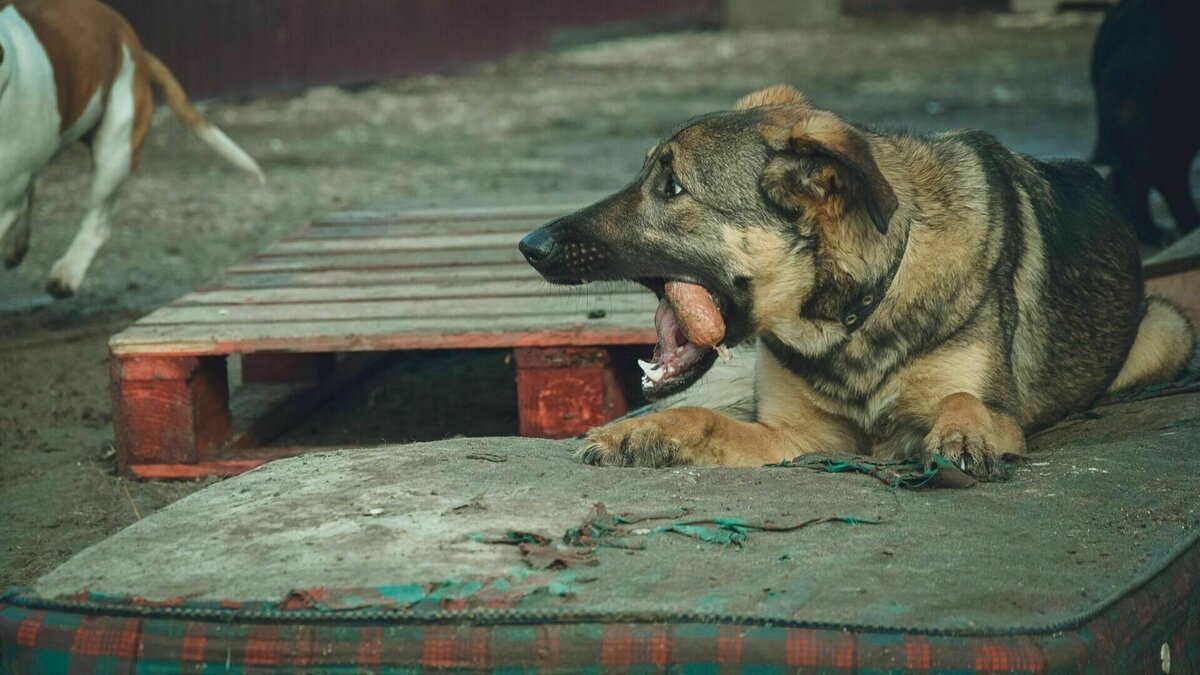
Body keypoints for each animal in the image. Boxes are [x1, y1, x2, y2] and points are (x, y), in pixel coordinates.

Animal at [520, 84, 1195, 480]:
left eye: (672, 187)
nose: (530, 246)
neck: (849, 317)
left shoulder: (1007, 416)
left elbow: (964, 399)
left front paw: (960, 432)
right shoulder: (794, 435)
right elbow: (703, 421)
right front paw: (644, 433)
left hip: (1166, 332)